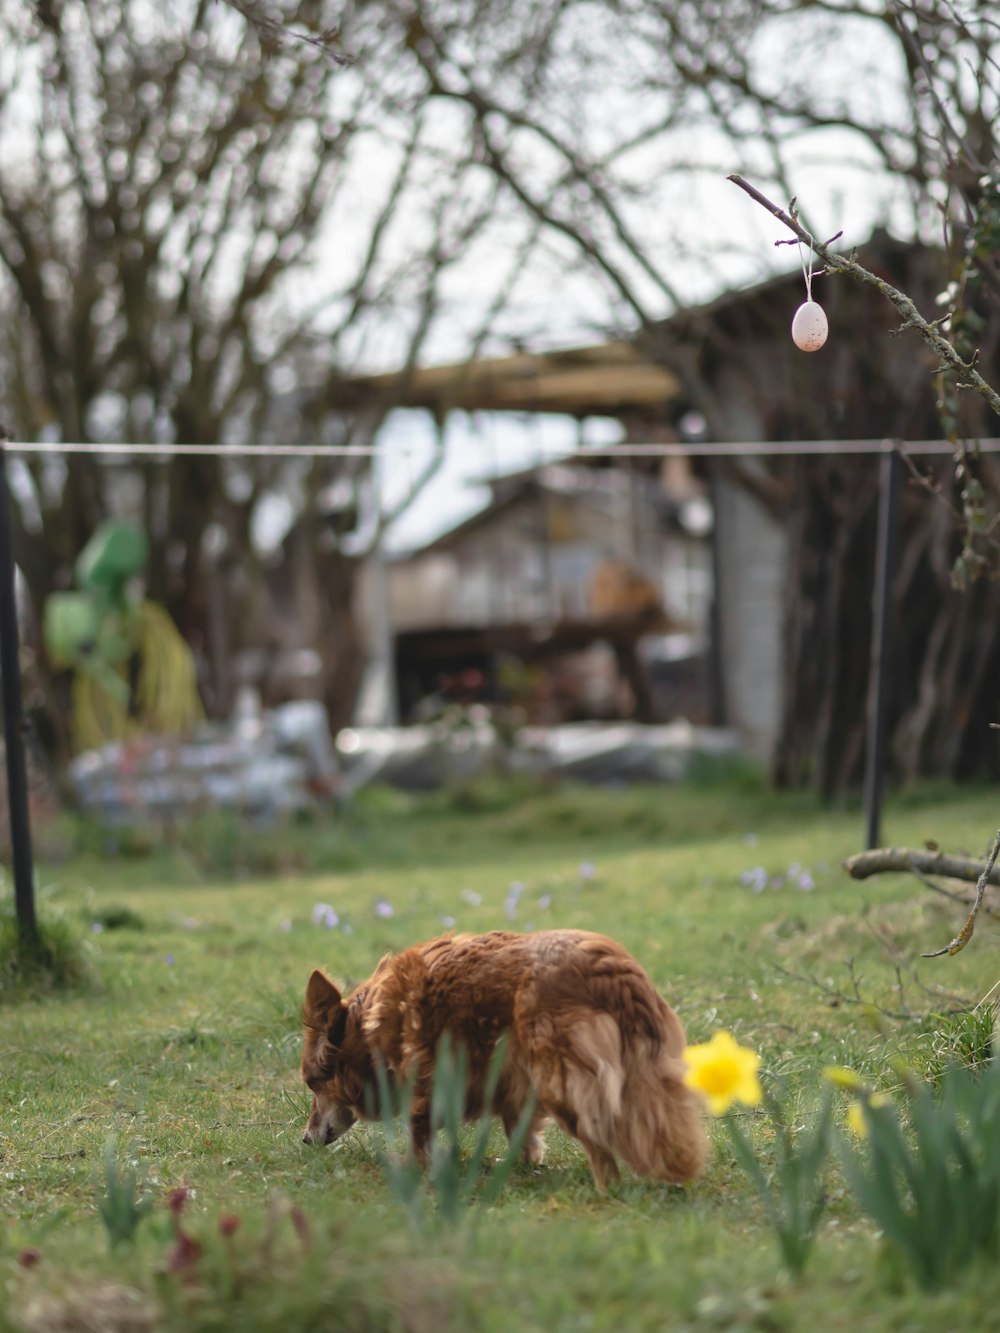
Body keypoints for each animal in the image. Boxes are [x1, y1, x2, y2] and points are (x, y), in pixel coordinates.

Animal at [301, 933, 709, 1194]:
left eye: (313, 1084)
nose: (304, 1139)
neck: (369, 1027)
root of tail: (609, 969)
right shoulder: (512, 1084)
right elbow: (520, 1129)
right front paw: (524, 1163)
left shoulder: (430, 1084)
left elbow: (419, 1131)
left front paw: (415, 1168)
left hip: (561, 1081)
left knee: (599, 1144)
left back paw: (607, 1191)